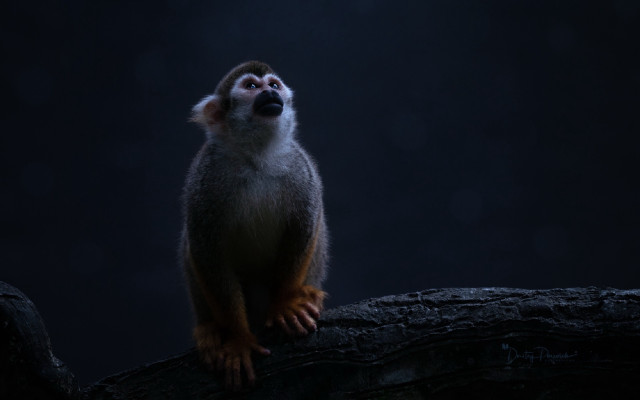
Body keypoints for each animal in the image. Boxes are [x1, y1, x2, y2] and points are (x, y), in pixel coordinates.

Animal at [180, 61, 328, 390]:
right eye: (251, 86)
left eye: (273, 85)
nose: (270, 93)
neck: (256, 157)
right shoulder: (206, 175)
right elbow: (205, 248)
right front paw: (238, 339)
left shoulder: (300, 166)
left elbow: (304, 224)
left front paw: (285, 303)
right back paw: (209, 328)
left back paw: (307, 294)